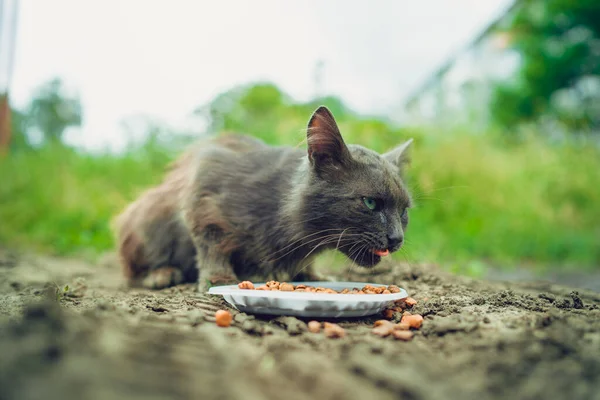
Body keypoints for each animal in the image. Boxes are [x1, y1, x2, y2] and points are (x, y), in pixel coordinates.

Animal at [113, 105, 412, 290]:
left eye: (404, 211)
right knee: (131, 271)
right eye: (370, 203)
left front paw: (311, 276)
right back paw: (161, 274)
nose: (397, 238)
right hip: (147, 215)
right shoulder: (205, 187)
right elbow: (212, 244)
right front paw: (219, 279)